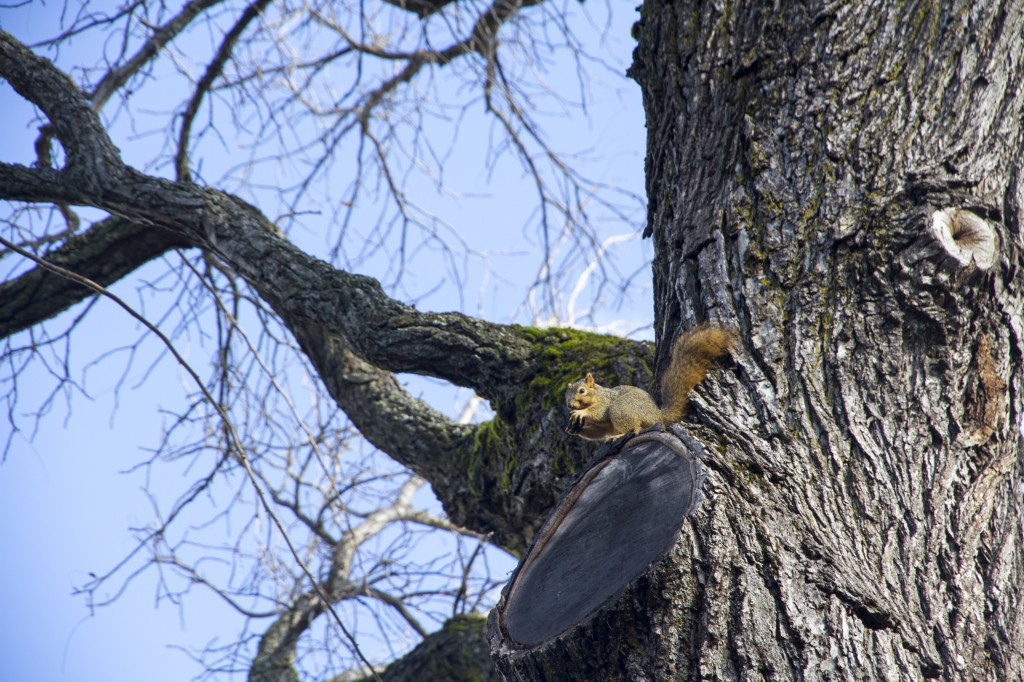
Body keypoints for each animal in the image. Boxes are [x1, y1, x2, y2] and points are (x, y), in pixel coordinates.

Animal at [569, 323, 737, 440]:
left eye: (582, 390)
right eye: (566, 395)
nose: (570, 405)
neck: (596, 395)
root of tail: (657, 415)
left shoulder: (605, 402)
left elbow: (599, 412)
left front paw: (581, 412)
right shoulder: (600, 427)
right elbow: (598, 431)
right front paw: (575, 428)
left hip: (621, 408)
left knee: (635, 428)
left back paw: (619, 436)